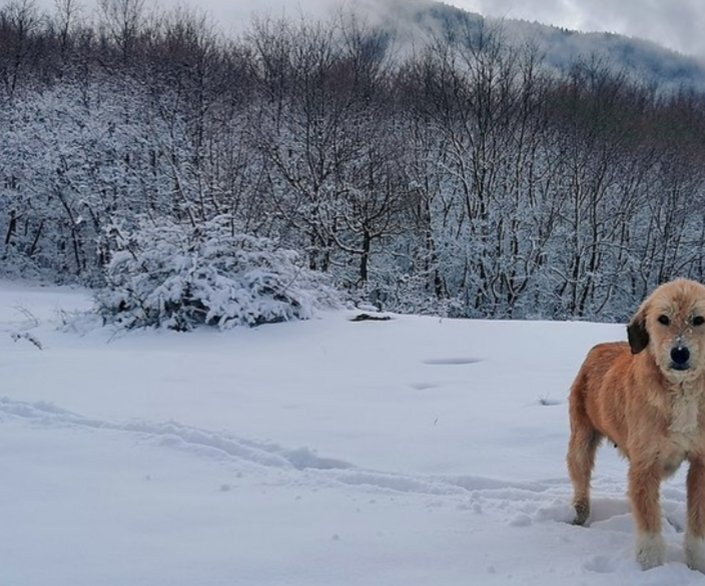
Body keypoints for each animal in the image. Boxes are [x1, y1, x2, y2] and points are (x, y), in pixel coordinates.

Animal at [568, 276, 705, 568]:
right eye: (663, 318)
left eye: (698, 319)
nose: (679, 353)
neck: (680, 392)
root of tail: (600, 346)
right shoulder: (645, 464)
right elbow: (649, 523)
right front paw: (652, 566)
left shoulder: (701, 463)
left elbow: (697, 522)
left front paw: (697, 563)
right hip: (580, 442)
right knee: (580, 480)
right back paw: (580, 513)